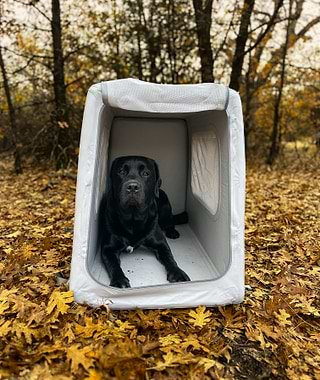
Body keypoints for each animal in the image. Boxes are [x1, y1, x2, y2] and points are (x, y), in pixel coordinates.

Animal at [99, 154, 190, 288]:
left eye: (146, 173)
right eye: (121, 171)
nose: (132, 187)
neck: (132, 219)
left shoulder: (161, 244)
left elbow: (170, 258)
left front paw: (178, 273)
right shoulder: (108, 248)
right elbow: (113, 264)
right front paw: (119, 280)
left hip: (165, 209)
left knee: (170, 222)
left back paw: (172, 231)